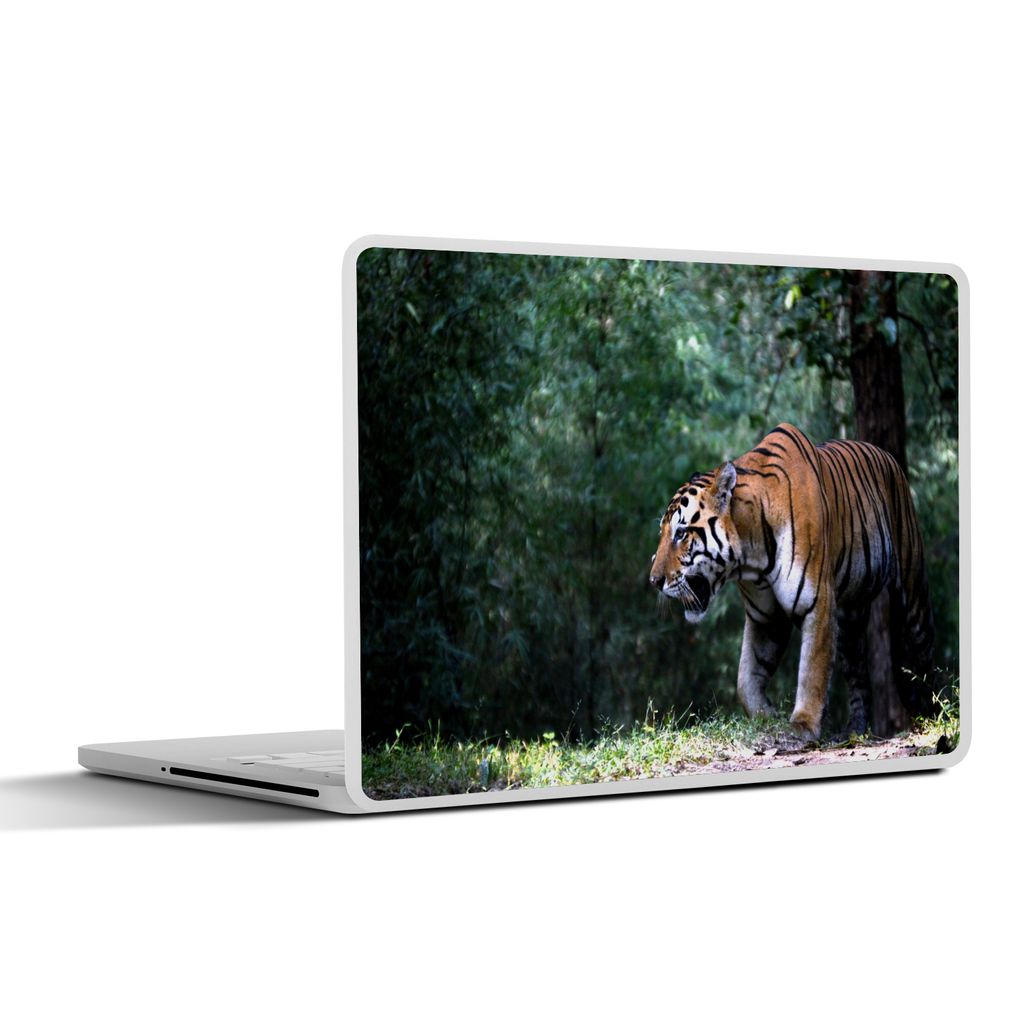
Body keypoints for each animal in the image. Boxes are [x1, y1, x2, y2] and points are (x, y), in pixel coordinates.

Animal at [649, 423, 934, 740]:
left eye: (681, 533)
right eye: (664, 533)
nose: (654, 580)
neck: (751, 557)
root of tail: (887, 455)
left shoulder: (817, 603)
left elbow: (812, 670)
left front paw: (802, 725)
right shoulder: (765, 617)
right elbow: (746, 679)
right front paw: (766, 716)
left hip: (911, 591)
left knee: (924, 654)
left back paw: (935, 715)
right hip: (850, 618)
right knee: (858, 674)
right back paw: (854, 731)